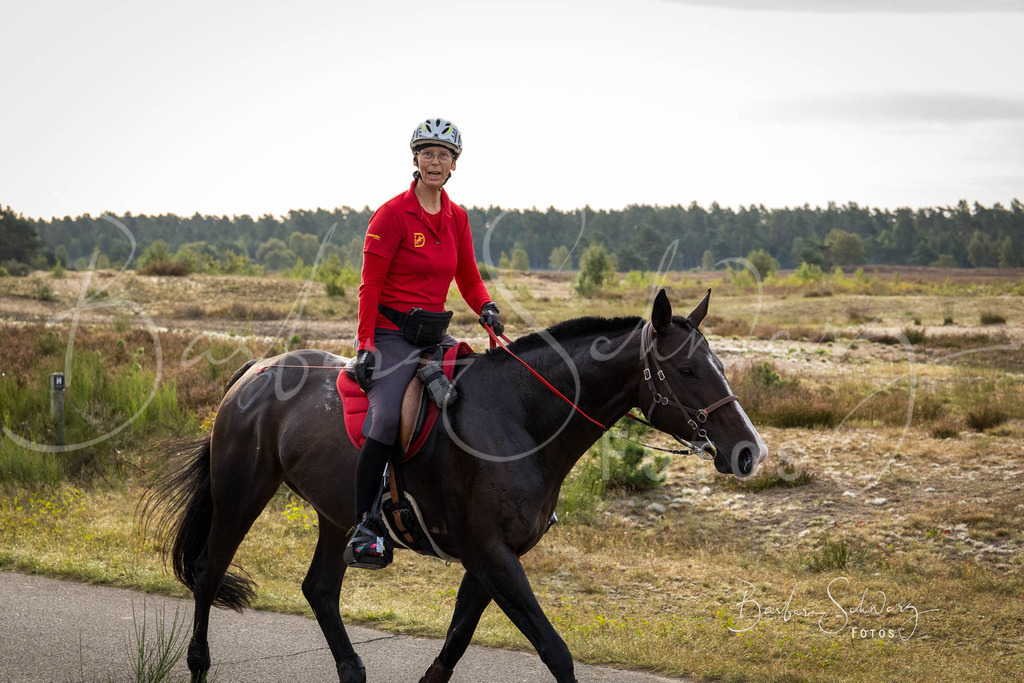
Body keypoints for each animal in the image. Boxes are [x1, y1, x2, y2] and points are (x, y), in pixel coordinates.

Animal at [144, 289, 768, 683]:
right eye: (687, 370)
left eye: (718, 365)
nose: (749, 451)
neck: (520, 417)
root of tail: (253, 372)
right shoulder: (490, 554)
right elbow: (555, 652)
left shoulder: (490, 559)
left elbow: (453, 648)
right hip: (240, 497)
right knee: (208, 574)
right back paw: (198, 664)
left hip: (337, 516)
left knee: (319, 589)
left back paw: (352, 670)